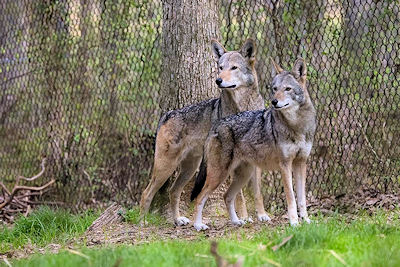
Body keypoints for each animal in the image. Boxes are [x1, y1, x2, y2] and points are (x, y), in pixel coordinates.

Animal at [139, 38, 270, 226]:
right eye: (220, 67)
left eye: (234, 68)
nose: (218, 80)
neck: (243, 107)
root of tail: (167, 114)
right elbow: (239, 196)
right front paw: (244, 217)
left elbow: (257, 191)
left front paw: (262, 215)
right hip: (166, 167)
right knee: (146, 193)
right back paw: (142, 222)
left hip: (189, 168)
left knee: (173, 191)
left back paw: (178, 220)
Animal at [192, 57, 318, 231]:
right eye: (274, 89)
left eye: (288, 89)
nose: (274, 101)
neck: (297, 126)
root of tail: (216, 125)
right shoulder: (285, 165)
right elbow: (291, 198)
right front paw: (294, 223)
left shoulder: (301, 163)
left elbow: (302, 199)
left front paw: (306, 221)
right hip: (220, 174)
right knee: (200, 197)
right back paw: (198, 225)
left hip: (243, 175)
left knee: (227, 196)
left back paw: (237, 221)